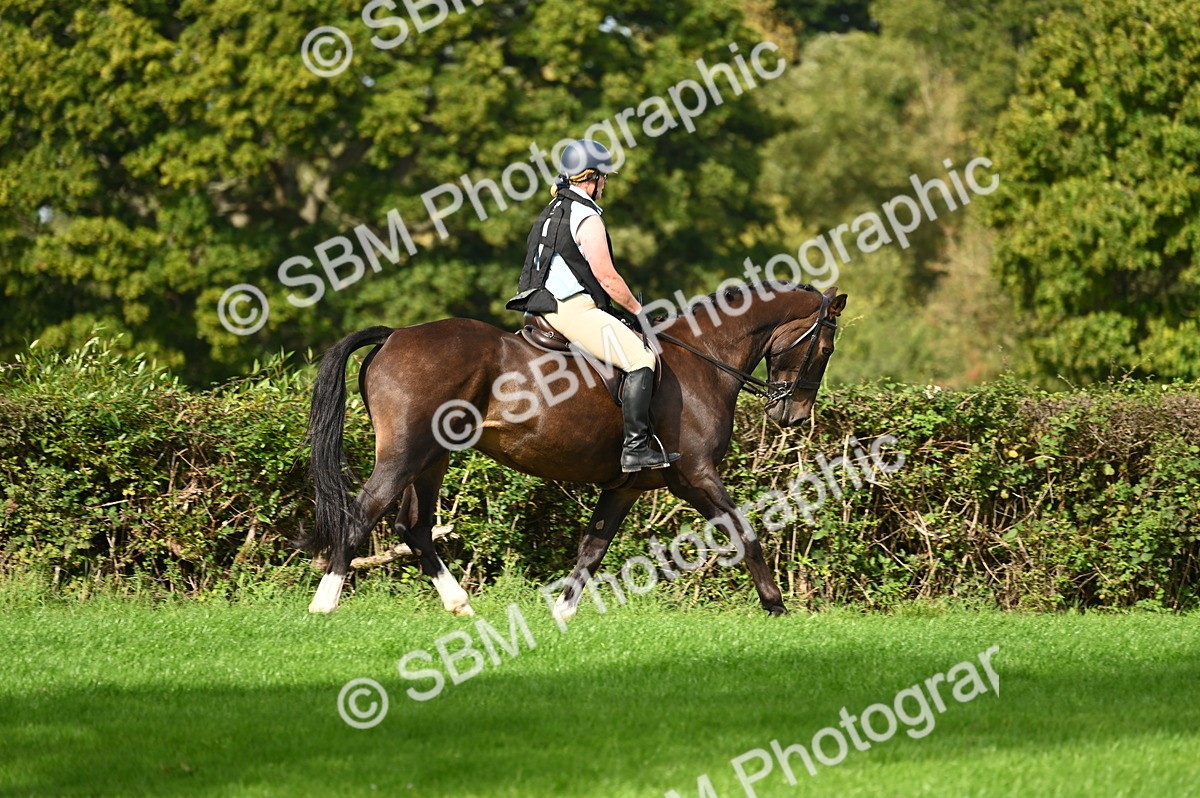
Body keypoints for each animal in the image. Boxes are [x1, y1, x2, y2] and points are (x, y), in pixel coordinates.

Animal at [300, 281, 846, 618]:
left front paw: (561, 616)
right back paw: (324, 604)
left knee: (413, 528)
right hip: (405, 455)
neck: (703, 362)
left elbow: (592, 549)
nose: (794, 416)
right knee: (361, 514)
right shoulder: (696, 475)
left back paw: (460, 605)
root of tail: (396, 334)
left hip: (433, 458)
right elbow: (744, 532)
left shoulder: (626, 486)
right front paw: (776, 605)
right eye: (824, 349)